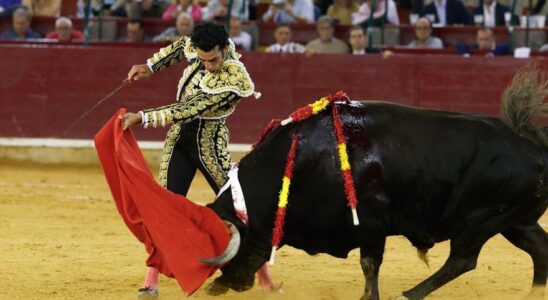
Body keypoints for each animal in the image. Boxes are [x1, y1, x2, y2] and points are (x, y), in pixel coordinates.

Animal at [203, 71, 544, 298]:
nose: (221, 285)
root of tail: (534, 146)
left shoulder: (371, 223)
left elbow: (369, 265)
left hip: (481, 222)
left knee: (462, 259)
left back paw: (408, 294)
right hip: (515, 221)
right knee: (540, 247)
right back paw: (535, 293)